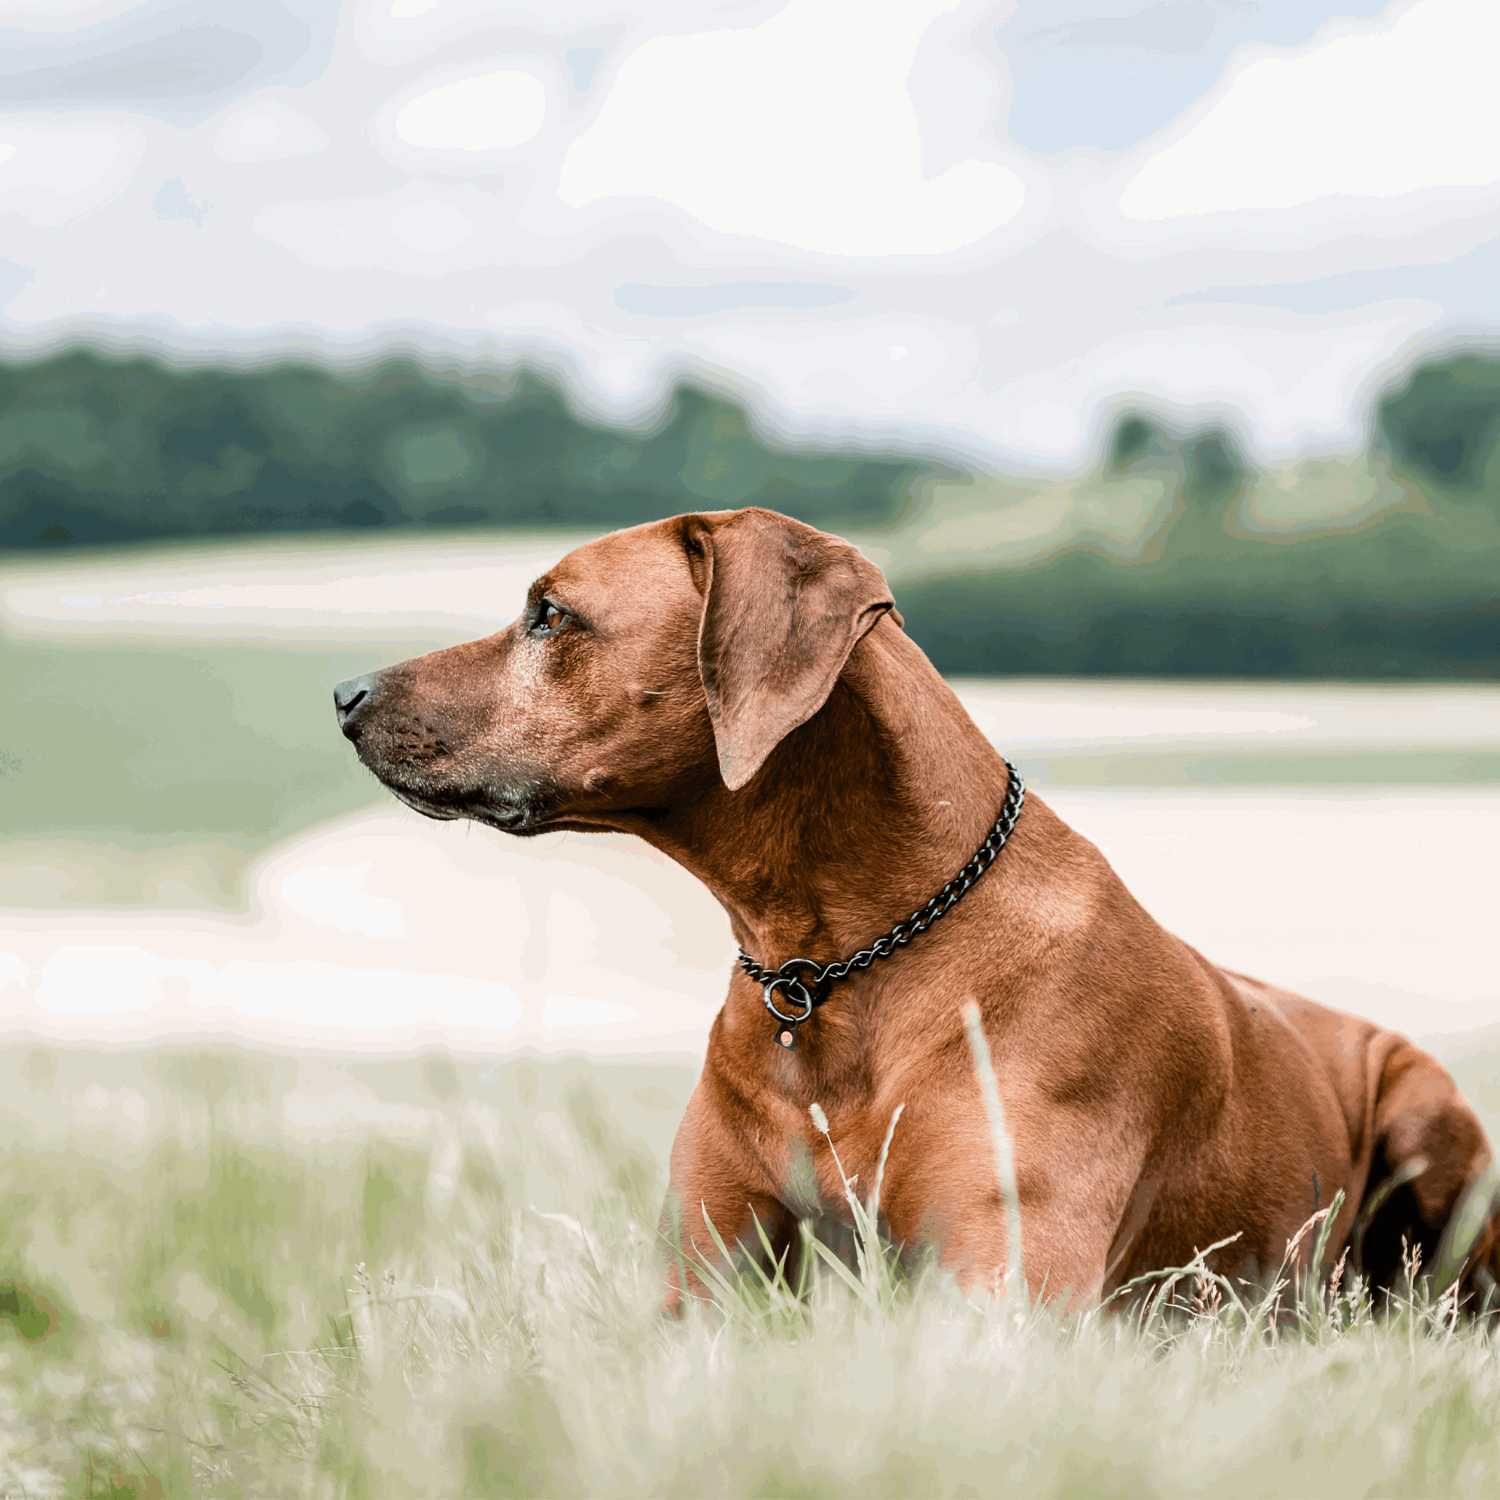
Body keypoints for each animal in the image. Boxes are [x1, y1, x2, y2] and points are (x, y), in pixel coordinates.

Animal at [334, 510, 1494, 1308]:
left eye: (551, 614)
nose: (344, 695)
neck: (824, 968)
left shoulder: (1005, 1282)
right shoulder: (704, 1277)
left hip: (1428, 1117)